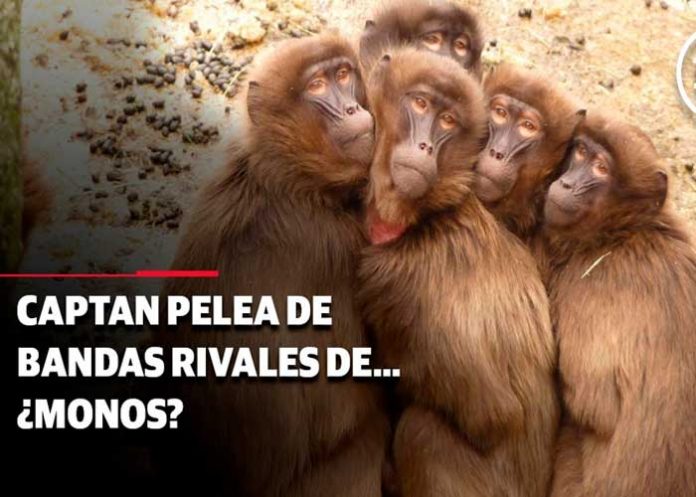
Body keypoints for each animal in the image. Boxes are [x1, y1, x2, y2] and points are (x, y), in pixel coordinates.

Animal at [357, 48, 558, 497]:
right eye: (419, 104)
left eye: (448, 121)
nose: (425, 145)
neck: (428, 216)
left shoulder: (400, 282)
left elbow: (492, 415)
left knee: (421, 430)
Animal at [542, 112, 696, 497]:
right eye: (581, 152)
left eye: (600, 168)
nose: (567, 183)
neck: (624, 234)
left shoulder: (597, 282)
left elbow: (594, 404)